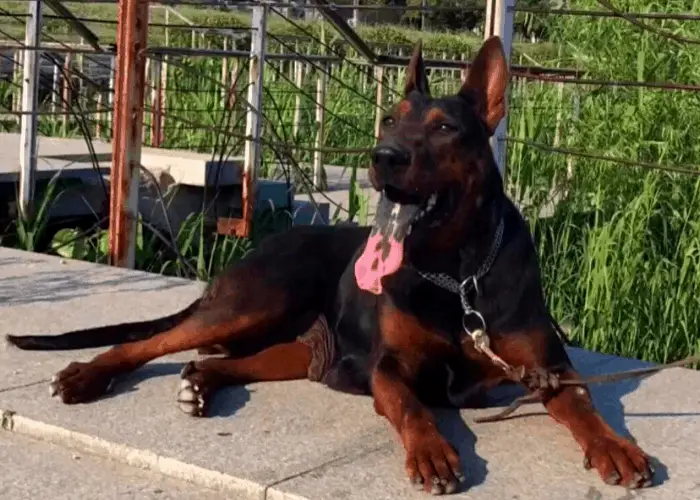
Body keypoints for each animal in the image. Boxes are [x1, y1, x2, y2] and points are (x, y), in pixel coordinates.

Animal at [6, 37, 652, 494]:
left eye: (445, 127)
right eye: (389, 119)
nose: (383, 157)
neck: (457, 272)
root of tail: (262, 247)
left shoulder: (548, 366)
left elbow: (583, 404)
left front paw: (616, 447)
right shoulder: (389, 367)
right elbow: (413, 407)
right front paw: (432, 452)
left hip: (300, 345)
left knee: (223, 359)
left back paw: (201, 384)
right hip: (260, 300)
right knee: (151, 342)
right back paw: (86, 376)